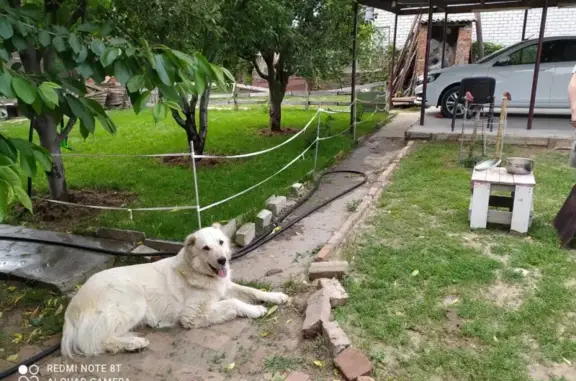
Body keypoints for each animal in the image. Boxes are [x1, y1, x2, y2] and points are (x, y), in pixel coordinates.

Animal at [60, 223, 288, 356]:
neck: (197, 272)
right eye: (206, 248)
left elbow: (252, 291)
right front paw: (256, 310)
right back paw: (133, 343)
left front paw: (276, 296)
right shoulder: (193, 315)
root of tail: (71, 308)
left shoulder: (224, 288)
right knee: (97, 342)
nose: (223, 260)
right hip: (133, 301)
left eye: (221, 242)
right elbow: (234, 302)